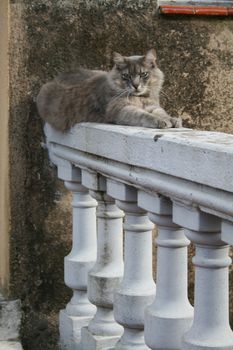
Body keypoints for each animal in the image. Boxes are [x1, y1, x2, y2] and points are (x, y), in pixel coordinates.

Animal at [36, 48, 182, 131]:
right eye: (126, 76)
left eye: (143, 74)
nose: (135, 85)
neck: (139, 99)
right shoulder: (120, 109)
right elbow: (143, 115)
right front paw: (160, 121)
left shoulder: (153, 106)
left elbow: (162, 112)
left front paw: (173, 120)